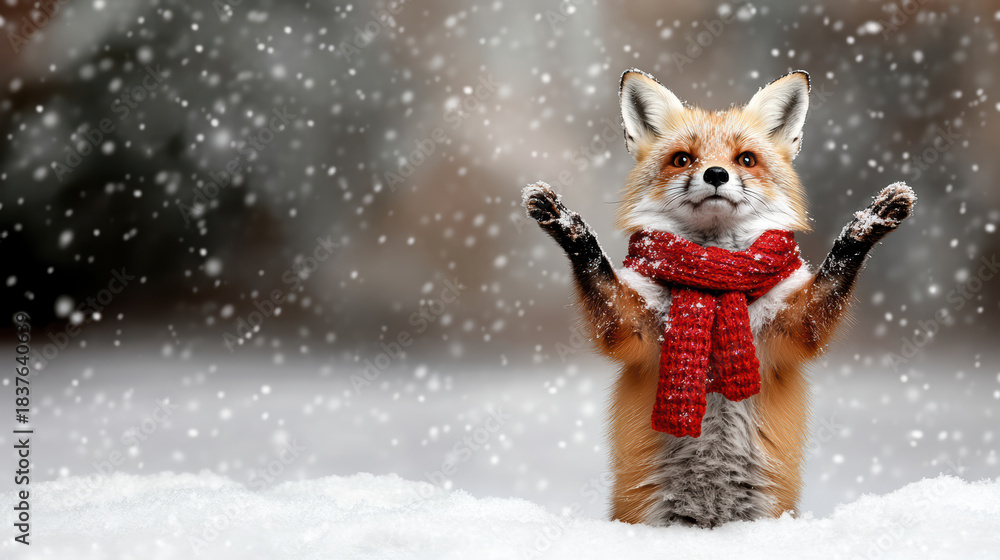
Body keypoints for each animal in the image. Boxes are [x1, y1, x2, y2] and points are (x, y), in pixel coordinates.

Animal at [521, 68, 915, 528]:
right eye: (682, 159)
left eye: (745, 159)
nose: (714, 174)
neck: (716, 274)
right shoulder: (634, 330)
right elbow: (603, 288)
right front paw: (571, 230)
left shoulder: (789, 329)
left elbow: (826, 290)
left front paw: (865, 227)